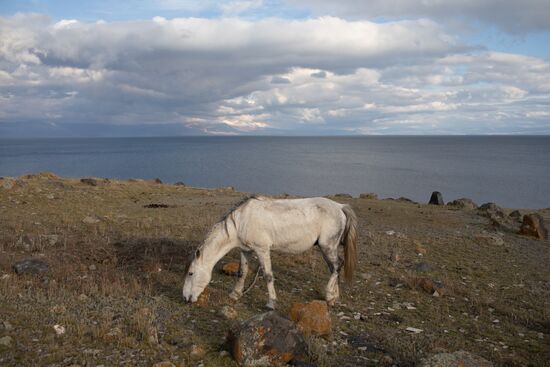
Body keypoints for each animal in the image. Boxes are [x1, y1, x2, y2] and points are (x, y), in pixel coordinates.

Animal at [181, 197, 358, 310]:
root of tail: (340, 206)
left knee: (337, 266)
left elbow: (267, 275)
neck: (242, 221)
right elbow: (242, 272)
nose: (185, 298)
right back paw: (334, 297)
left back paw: (329, 297)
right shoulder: (246, 250)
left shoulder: (262, 250)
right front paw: (235, 294)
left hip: (327, 246)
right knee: (334, 268)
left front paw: (271, 303)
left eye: (191, 273)